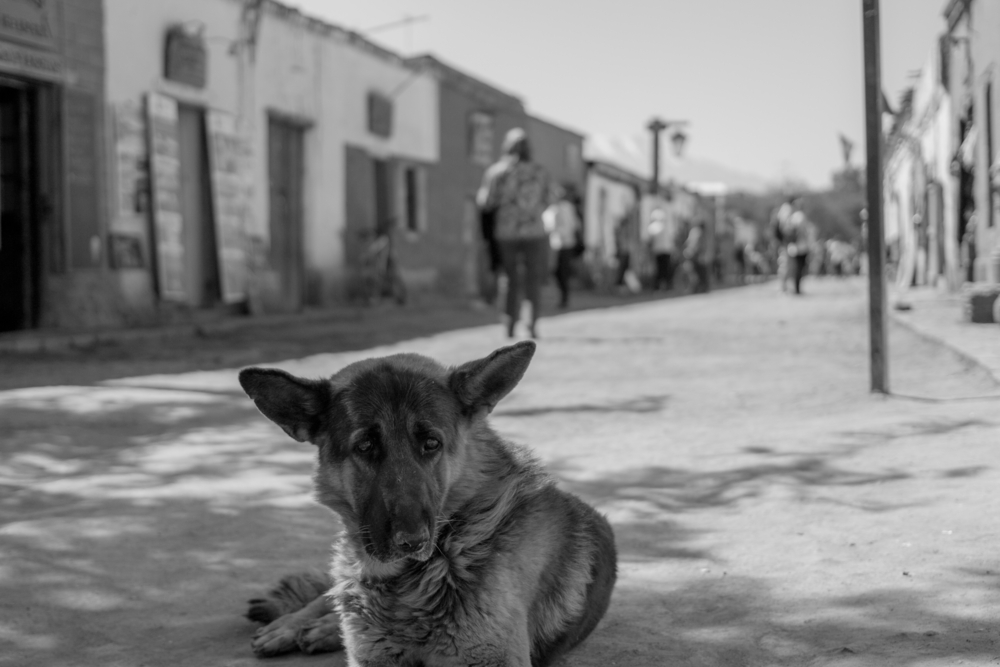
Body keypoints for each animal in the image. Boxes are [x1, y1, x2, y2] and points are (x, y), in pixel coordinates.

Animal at [240, 344, 616, 667]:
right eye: (365, 446)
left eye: (432, 443)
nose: (412, 541)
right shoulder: (370, 656)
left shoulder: (495, 657)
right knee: (328, 596)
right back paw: (292, 625)